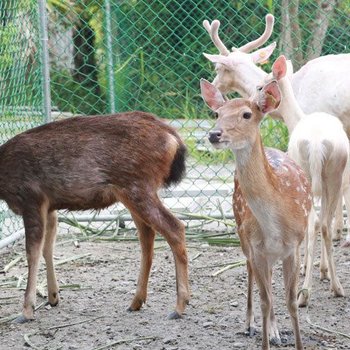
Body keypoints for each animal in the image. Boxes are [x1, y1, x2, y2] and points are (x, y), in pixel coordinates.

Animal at [0, 111, 191, 322]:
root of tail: (173, 138)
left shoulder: (31, 197)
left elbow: (32, 252)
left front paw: (26, 311)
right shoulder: (50, 206)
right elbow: (47, 248)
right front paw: (53, 296)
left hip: (138, 186)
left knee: (174, 227)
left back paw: (179, 306)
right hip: (131, 192)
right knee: (147, 235)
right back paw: (136, 301)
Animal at [201, 78, 314, 348]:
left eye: (246, 114)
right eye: (217, 114)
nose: (214, 134)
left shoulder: (293, 246)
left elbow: (291, 302)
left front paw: (293, 340)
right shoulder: (256, 246)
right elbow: (265, 300)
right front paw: (264, 335)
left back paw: (275, 331)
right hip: (242, 233)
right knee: (251, 272)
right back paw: (252, 325)